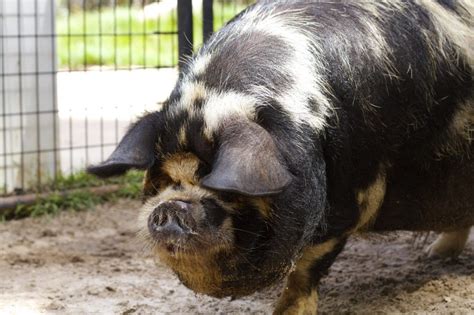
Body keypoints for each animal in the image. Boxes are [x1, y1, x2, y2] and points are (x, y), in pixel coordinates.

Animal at [87, 0, 472, 314]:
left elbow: (305, 270)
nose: (170, 206)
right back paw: (433, 255)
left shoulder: (350, 199)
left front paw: (287, 311)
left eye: (223, 188)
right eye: (164, 180)